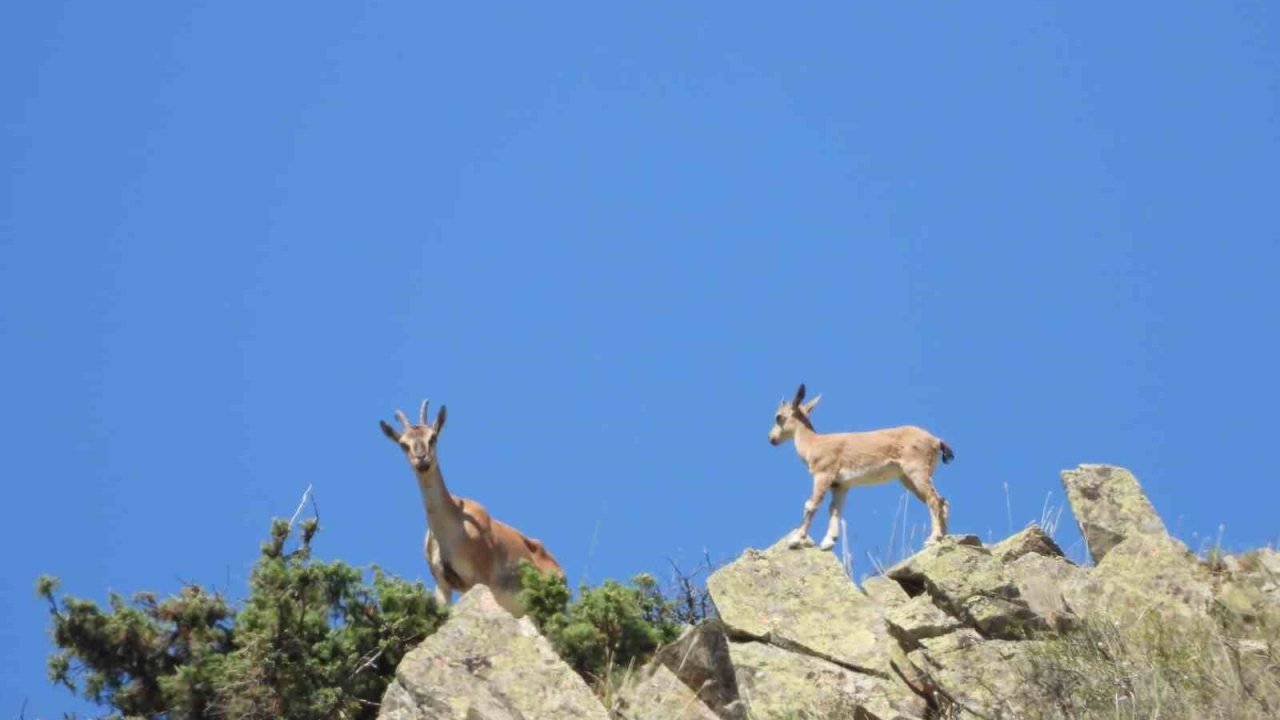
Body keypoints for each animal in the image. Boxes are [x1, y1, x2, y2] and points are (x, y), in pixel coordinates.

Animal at [376, 397, 563, 609]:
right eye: (403, 444)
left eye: (433, 437)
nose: (422, 460)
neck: (451, 528)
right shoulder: (443, 585)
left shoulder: (481, 579)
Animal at [762, 384, 957, 545]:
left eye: (779, 417)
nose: (771, 438)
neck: (813, 444)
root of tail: (936, 441)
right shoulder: (840, 485)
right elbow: (834, 510)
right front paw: (828, 542)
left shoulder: (823, 475)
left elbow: (811, 505)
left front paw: (796, 539)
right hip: (907, 479)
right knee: (943, 501)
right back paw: (943, 537)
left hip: (916, 472)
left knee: (934, 499)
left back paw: (933, 538)